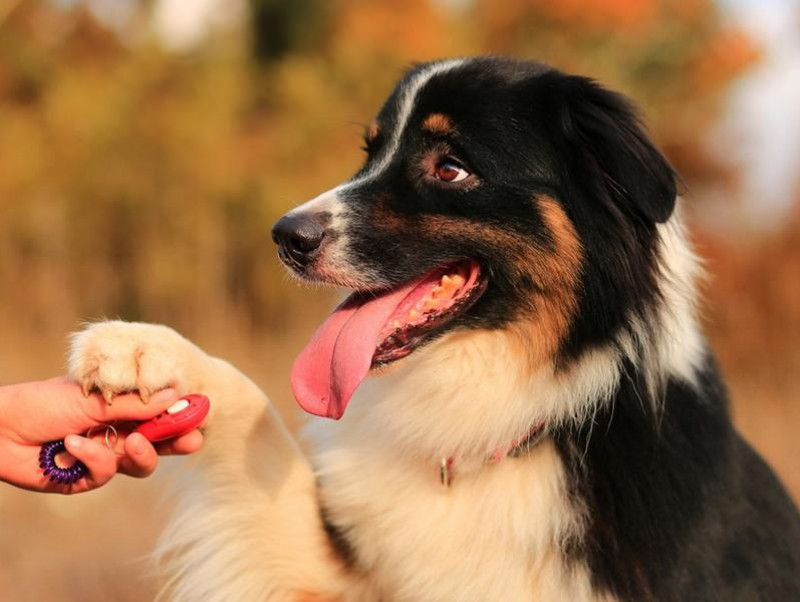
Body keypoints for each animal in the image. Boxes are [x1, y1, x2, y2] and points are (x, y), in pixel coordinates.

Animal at [69, 57, 800, 600]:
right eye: (368, 152)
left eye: (450, 166)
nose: (285, 237)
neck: (495, 429)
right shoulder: (346, 576)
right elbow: (260, 422)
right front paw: (138, 347)